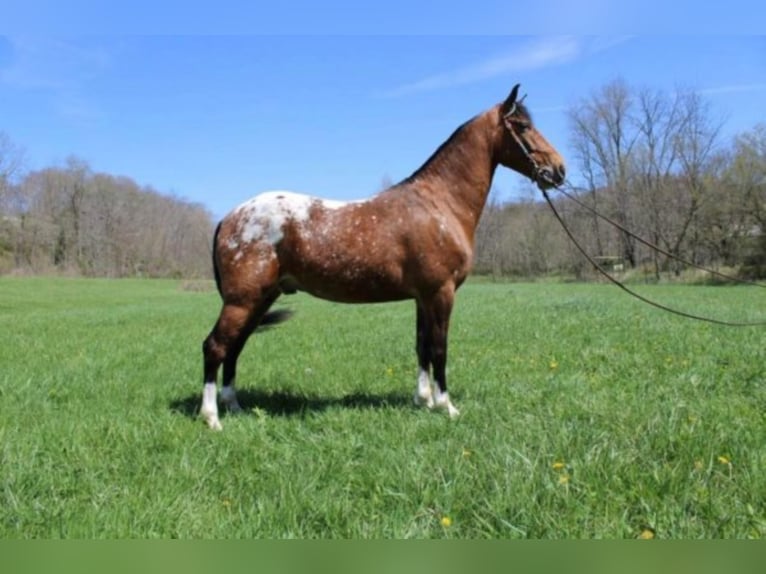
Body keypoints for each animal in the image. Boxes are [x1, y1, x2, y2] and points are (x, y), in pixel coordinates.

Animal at [201, 83, 568, 430]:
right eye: (522, 126)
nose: (558, 169)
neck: (439, 204)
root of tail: (230, 217)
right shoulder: (441, 292)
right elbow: (440, 349)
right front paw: (447, 406)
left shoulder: (423, 297)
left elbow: (422, 347)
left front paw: (424, 400)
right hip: (243, 300)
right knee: (215, 346)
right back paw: (212, 418)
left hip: (260, 299)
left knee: (235, 347)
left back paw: (234, 407)